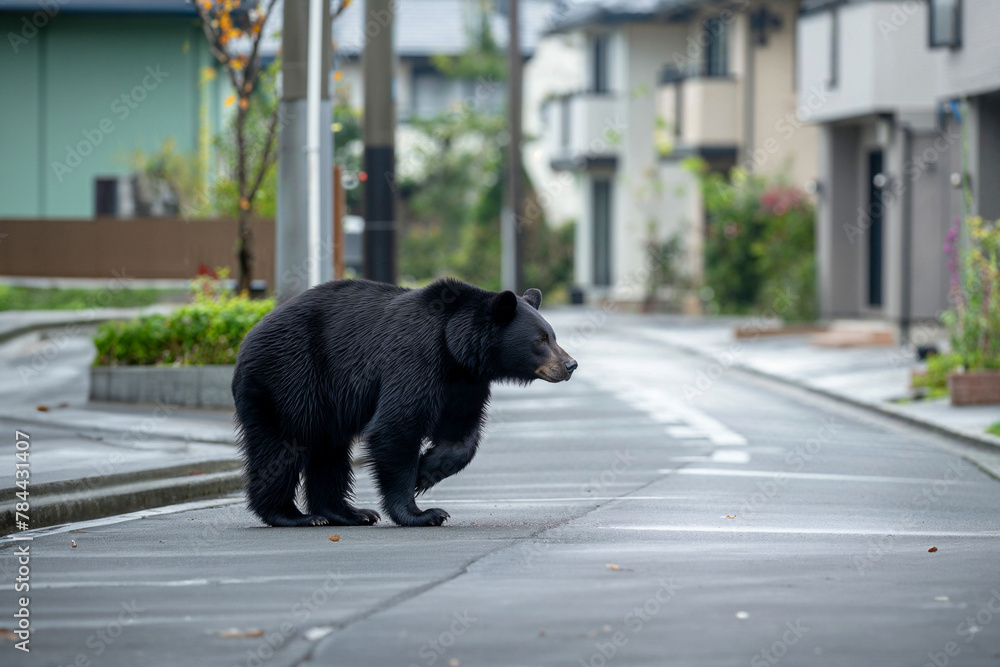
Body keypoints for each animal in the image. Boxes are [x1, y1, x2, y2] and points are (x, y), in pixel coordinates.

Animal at [231, 278, 577, 528]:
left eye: (553, 335)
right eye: (540, 340)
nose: (570, 364)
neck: (454, 345)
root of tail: (246, 341)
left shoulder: (464, 382)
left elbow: (460, 431)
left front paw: (426, 471)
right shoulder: (415, 358)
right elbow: (397, 426)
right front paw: (423, 512)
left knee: (329, 450)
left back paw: (349, 513)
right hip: (291, 375)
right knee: (285, 443)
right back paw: (292, 515)